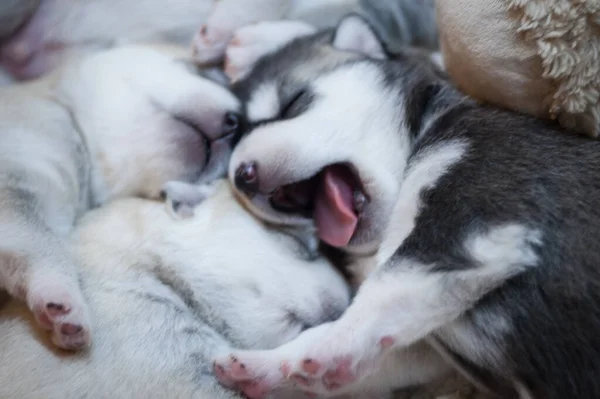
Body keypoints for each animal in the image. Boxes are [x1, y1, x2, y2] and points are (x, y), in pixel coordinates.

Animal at [209, 14, 600, 399]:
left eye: (293, 102)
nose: (241, 175)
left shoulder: (474, 215)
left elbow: (386, 284)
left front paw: (324, 346)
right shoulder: (430, 350)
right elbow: (383, 355)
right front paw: (270, 366)